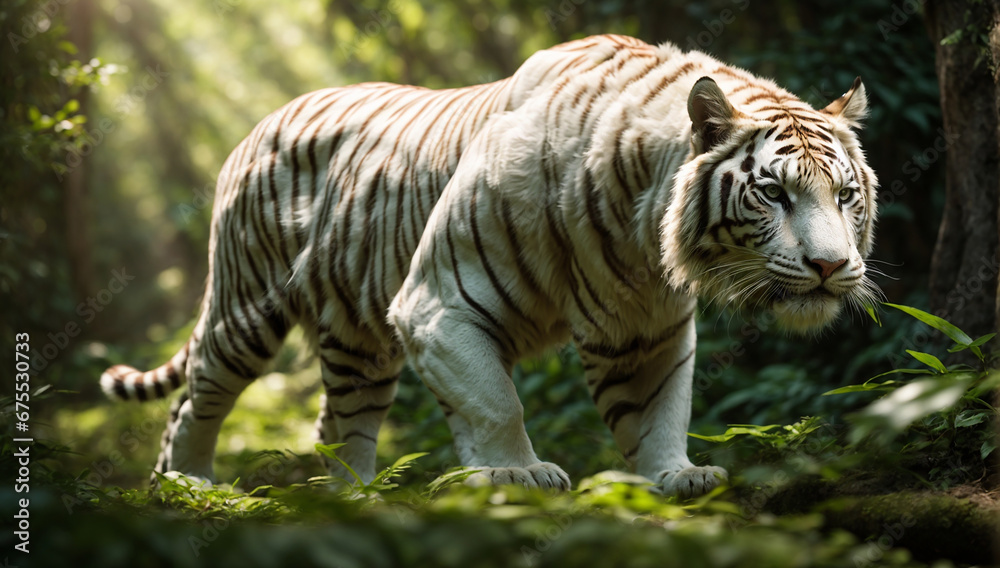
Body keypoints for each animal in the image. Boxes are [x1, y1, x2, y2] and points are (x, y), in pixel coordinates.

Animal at [99, 34, 878, 498]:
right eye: (774, 193)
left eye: (844, 195)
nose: (831, 265)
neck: (641, 221)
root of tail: (262, 120)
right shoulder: (439, 304)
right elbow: (495, 401)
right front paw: (517, 472)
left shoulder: (642, 328)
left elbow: (661, 409)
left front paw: (675, 477)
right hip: (247, 306)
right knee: (194, 398)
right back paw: (187, 487)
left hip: (359, 343)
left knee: (338, 423)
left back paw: (356, 497)